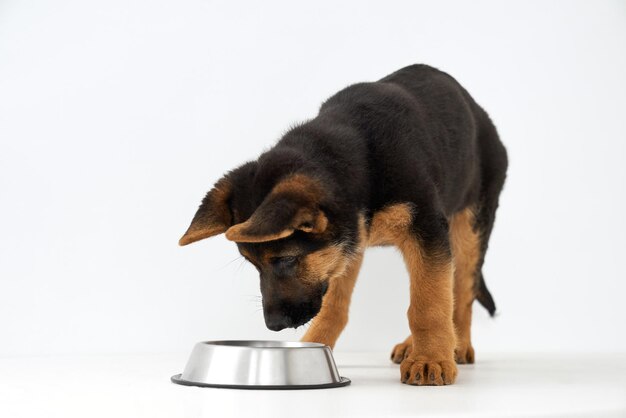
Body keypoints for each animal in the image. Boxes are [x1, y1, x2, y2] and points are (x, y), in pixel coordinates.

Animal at [178, 63, 504, 386]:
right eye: (252, 264)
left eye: (285, 259)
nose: (274, 325)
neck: (362, 162)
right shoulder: (346, 244)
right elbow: (335, 304)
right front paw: (313, 347)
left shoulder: (426, 228)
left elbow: (429, 301)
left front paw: (430, 358)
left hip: (470, 227)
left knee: (461, 292)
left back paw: (456, 344)